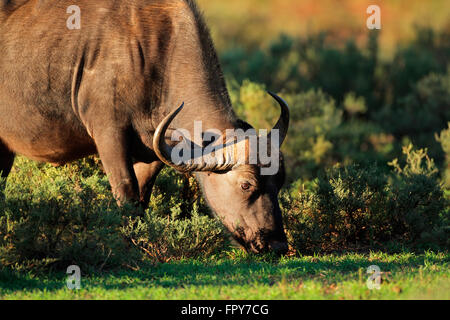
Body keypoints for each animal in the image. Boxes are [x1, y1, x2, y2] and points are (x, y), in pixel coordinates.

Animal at [0, 0, 290, 255]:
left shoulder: (152, 154)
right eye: (246, 185)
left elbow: (141, 196)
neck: (157, 55)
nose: (277, 246)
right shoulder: (109, 134)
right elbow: (125, 191)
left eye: (280, 180)